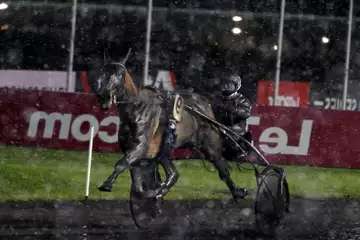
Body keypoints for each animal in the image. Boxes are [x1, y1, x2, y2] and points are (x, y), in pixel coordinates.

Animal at [95, 49, 248, 202]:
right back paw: (160, 191)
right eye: (102, 72)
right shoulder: (131, 147)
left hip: (210, 145)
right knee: (174, 173)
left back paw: (237, 192)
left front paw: (107, 184)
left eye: (120, 74)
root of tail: (205, 105)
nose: (104, 95)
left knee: (222, 168)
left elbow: (122, 163)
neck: (136, 107)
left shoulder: (141, 145)